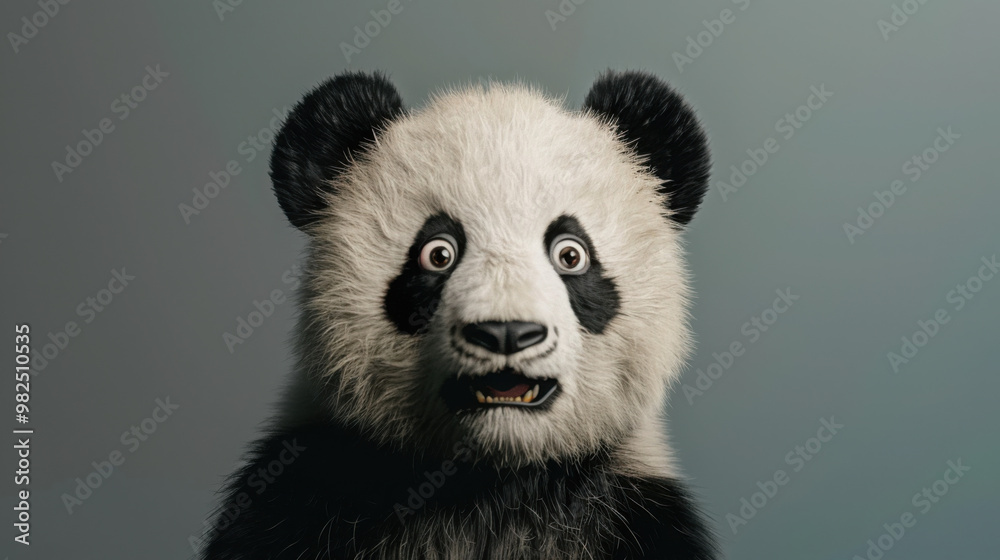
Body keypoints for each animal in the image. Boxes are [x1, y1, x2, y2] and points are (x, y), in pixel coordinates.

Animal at [201, 70, 716, 560]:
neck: (487, 484)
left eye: (571, 254)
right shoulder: (298, 490)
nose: (506, 333)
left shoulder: (637, 511)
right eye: (438, 254)